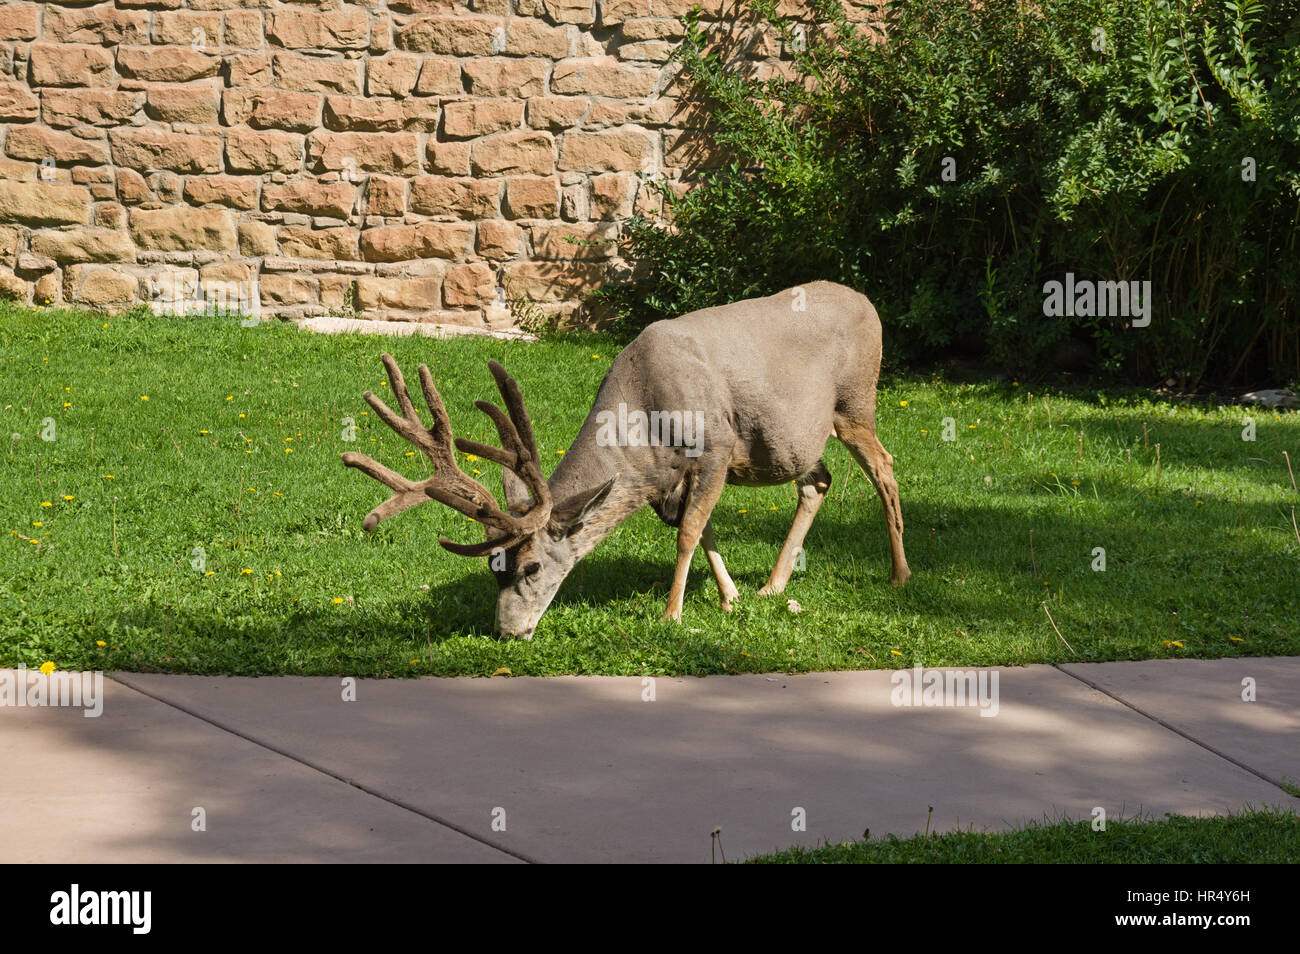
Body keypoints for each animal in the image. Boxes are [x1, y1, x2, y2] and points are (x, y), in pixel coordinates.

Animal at [345, 283, 915, 642]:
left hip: (855, 402)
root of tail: (868, 303)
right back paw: (773, 584)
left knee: (884, 467)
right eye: (492, 567)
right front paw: (731, 598)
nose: (506, 632)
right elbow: (703, 529)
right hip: (798, 439)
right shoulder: (670, 478)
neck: (647, 426)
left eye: (531, 566)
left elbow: (689, 534)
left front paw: (672, 615)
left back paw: (900, 575)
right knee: (818, 481)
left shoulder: (716, 446)